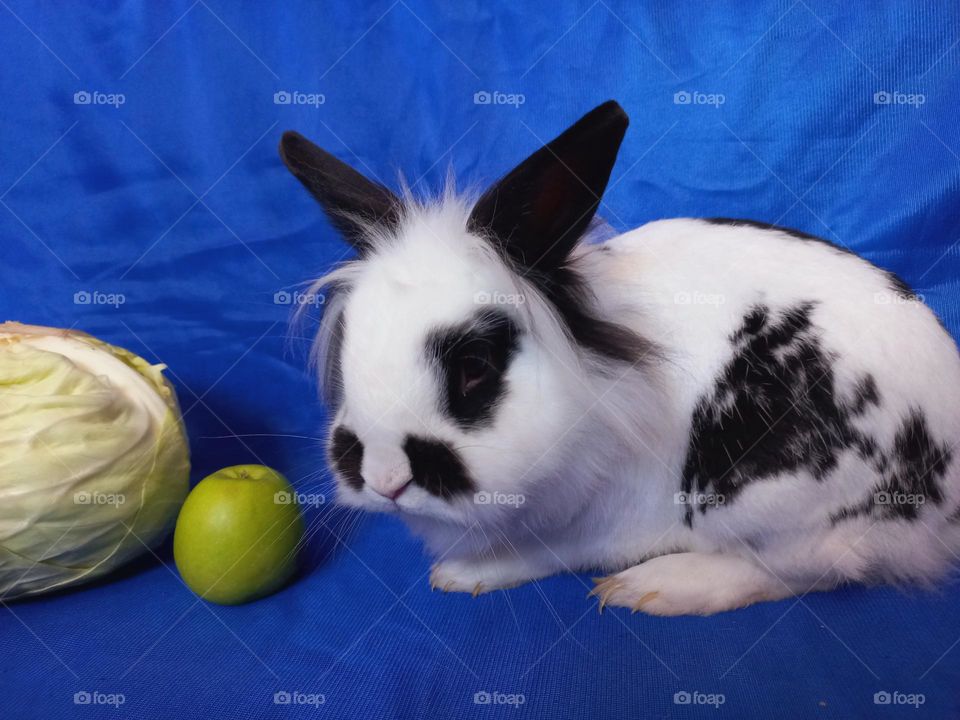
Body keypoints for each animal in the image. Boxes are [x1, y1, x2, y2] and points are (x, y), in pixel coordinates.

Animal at [279, 100, 960, 615]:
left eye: (475, 365)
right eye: (347, 348)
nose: (385, 479)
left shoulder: (604, 519)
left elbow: (549, 553)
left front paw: (466, 571)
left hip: (773, 495)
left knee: (804, 567)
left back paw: (658, 588)